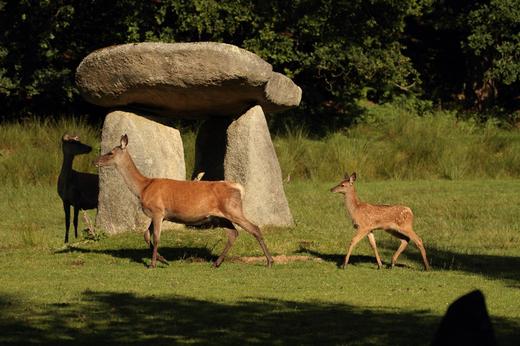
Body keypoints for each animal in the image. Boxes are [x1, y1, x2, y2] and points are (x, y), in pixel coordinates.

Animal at [94, 134, 274, 268]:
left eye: (110, 152)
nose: (95, 161)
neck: (143, 187)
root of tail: (239, 188)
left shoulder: (158, 210)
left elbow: (156, 237)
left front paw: (153, 264)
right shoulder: (158, 214)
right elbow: (146, 234)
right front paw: (163, 259)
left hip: (233, 209)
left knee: (254, 228)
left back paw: (269, 261)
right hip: (220, 216)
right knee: (233, 233)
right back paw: (216, 263)